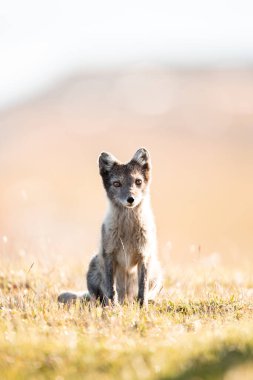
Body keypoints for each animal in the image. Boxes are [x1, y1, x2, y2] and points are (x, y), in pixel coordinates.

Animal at [57, 147, 162, 308]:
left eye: (138, 182)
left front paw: (142, 307)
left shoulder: (144, 255)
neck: (127, 229)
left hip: (156, 270)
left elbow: (143, 288)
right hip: (94, 264)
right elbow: (111, 288)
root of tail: (126, 298)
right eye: (117, 184)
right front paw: (113, 307)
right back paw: (106, 304)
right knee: (99, 296)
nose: (130, 199)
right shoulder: (109, 255)